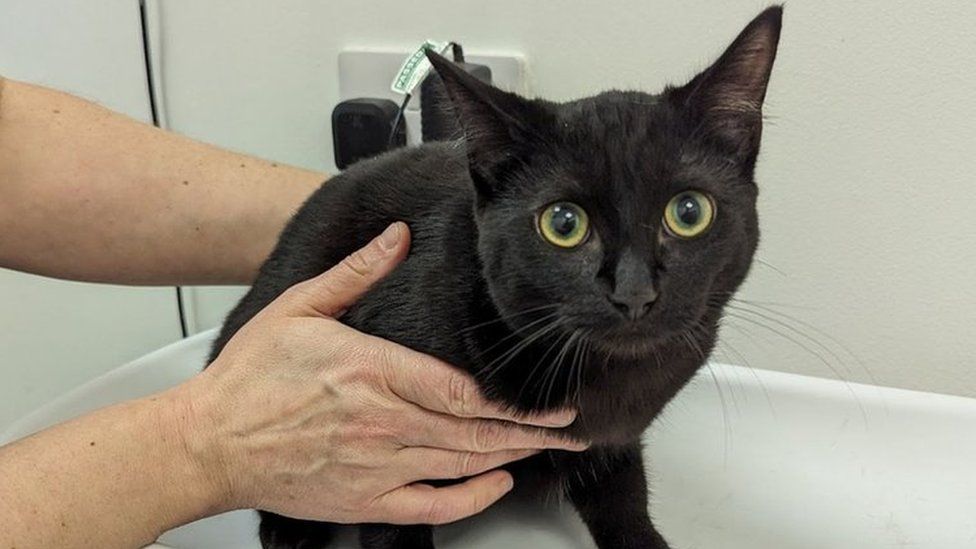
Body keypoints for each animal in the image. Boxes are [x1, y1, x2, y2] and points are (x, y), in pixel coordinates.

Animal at [212, 5, 784, 548]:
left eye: (689, 212)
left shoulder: (613, 441)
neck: (606, 379)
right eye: (563, 223)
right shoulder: (385, 456)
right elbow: (392, 526)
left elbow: (625, 501)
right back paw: (290, 528)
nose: (634, 291)